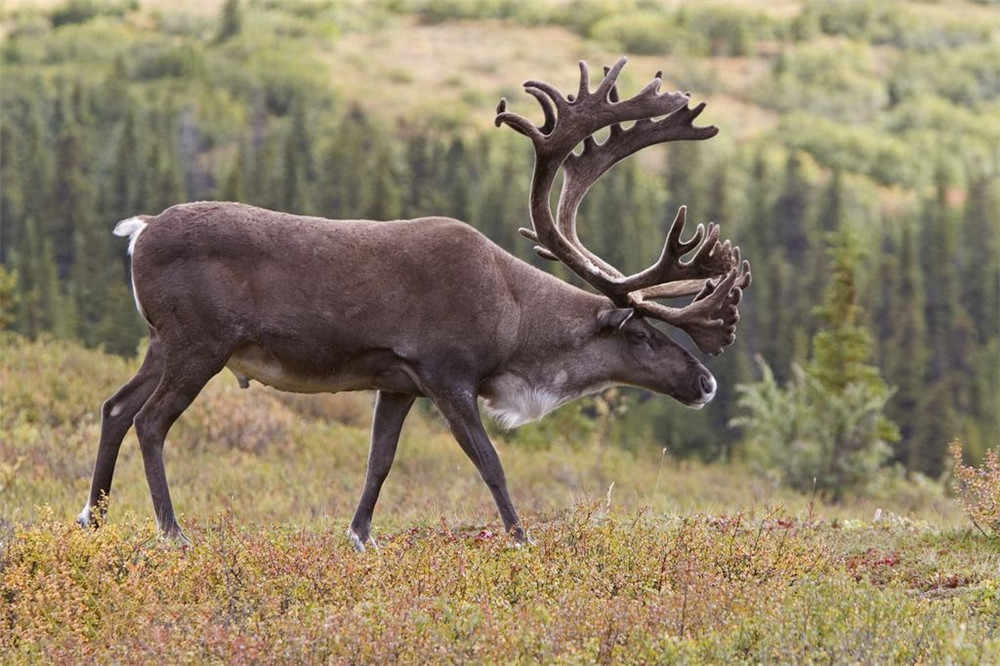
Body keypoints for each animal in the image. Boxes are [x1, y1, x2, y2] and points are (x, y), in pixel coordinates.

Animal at [78, 58, 750, 550]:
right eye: (641, 335)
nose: (706, 383)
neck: (514, 319)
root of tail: (139, 231)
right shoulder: (448, 375)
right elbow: (490, 463)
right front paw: (522, 540)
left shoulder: (397, 383)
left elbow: (379, 462)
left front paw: (360, 536)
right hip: (200, 345)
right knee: (150, 422)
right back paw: (173, 532)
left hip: (161, 343)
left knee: (115, 407)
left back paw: (94, 517)